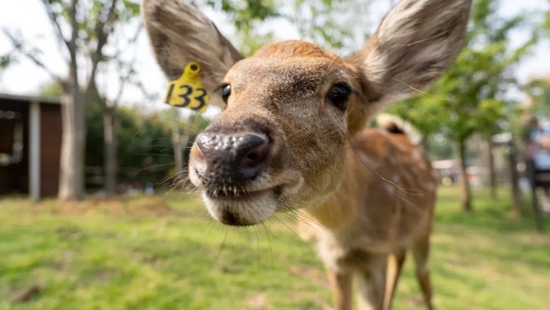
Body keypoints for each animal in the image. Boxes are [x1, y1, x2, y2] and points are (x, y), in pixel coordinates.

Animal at [142, 0, 474, 308]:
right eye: (226, 89)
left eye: (341, 91)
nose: (225, 149)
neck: (341, 230)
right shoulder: (334, 260)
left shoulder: (374, 252)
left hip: (425, 227)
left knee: (425, 280)